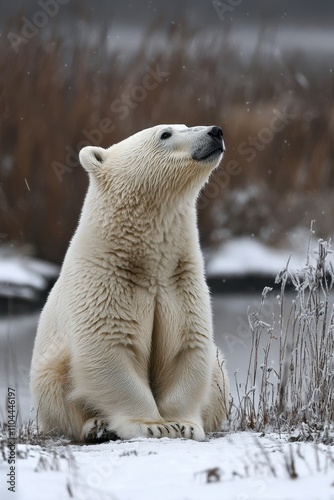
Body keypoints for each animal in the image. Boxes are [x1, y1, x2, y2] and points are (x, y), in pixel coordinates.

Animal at [30, 124, 228, 442]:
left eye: (186, 126)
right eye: (165, 134)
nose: (215, 131)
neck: (146, 259)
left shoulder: (179, 279)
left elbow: (185, 345)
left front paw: (182, 424)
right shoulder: (107, 278)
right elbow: (109, 349)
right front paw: (153, 425)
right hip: (48, 376)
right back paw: (97, 426)